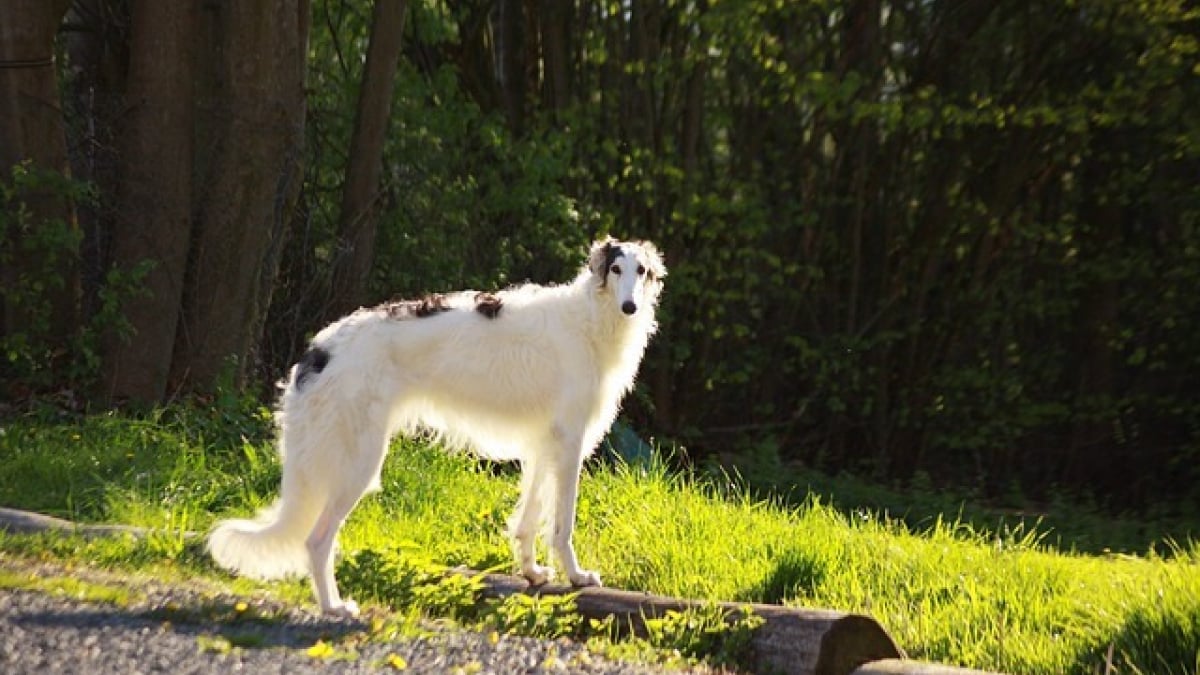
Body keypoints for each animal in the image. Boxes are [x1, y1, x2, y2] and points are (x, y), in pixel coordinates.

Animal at [206, 237, 667, 614]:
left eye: (642, 271)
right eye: (616, 269)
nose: (630, 307)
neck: (589, 319)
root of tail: (319, 350)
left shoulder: (543, 444)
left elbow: (528, 520)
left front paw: (533, 573)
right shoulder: (570, 442)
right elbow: (562, 525)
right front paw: (577, 576)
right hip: (358, 463)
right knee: (316, 541)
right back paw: (334, 607)